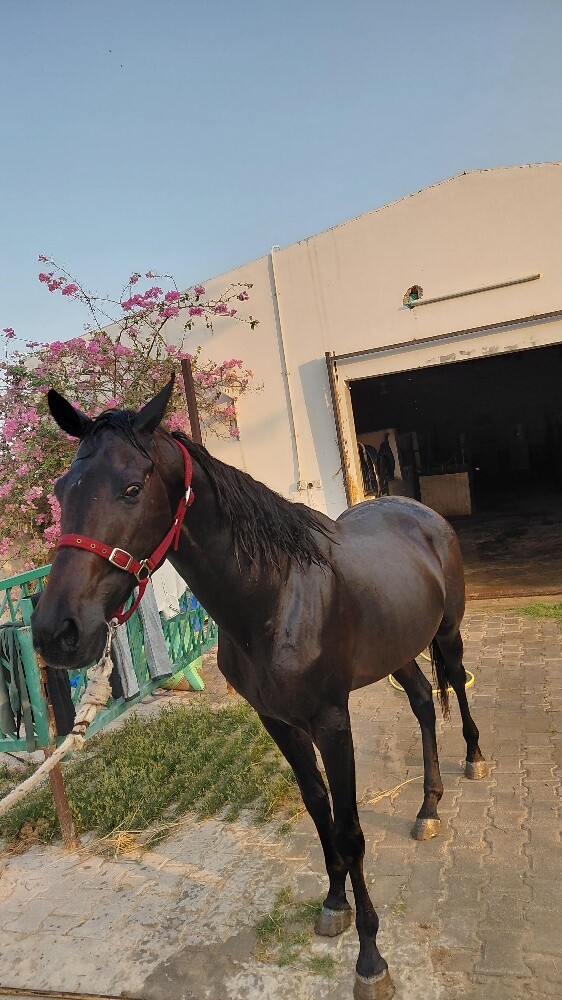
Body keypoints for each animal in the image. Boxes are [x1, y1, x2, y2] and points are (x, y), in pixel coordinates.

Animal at [31, 377, 486, 1000]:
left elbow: (349, 830)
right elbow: (318, 809)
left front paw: (370, 956)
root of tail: (418, 512)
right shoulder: (277, 721)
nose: (56, 631)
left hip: (447, 631)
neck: (274, 595)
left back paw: (474, 759)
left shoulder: (331, 721)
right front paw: (334, 904)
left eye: (131, 488)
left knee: (456, 687)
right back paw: (428, 805)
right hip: (396, 652)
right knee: (421, 704)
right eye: (61, 489)